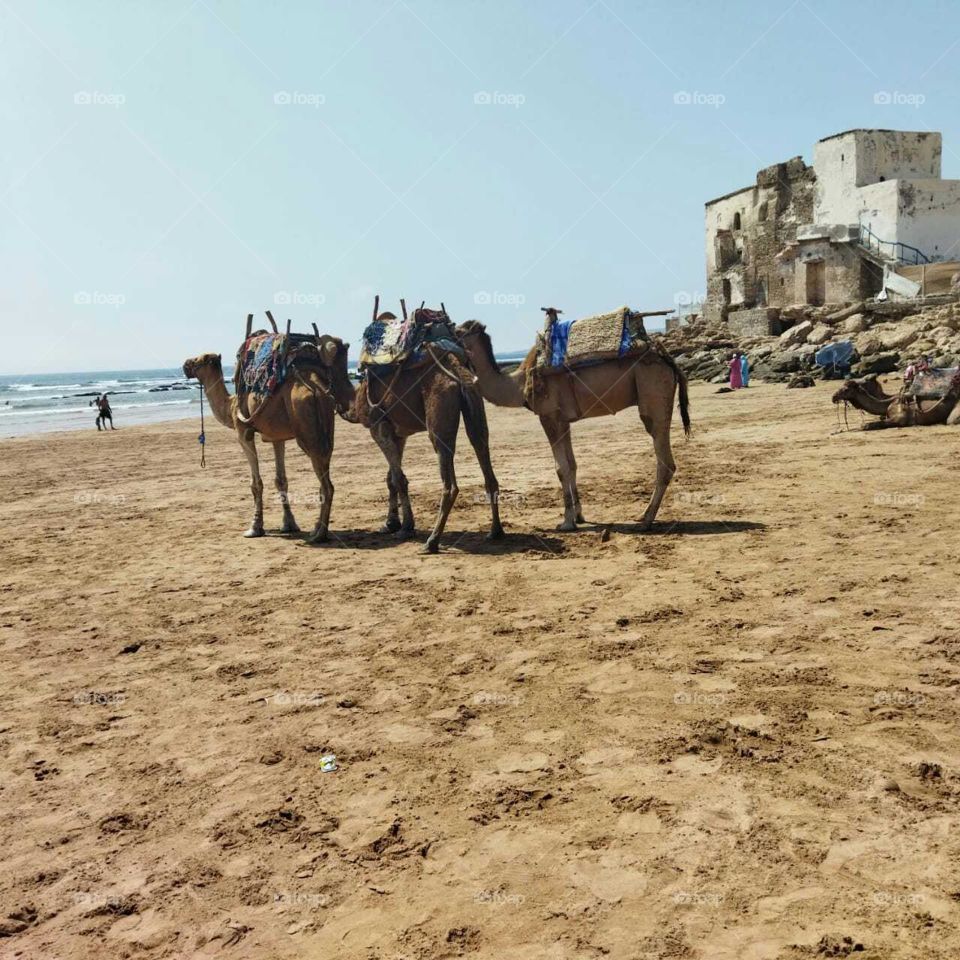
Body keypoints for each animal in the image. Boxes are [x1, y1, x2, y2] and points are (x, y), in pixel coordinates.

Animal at [184, 328, 356, 540]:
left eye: (198, 360)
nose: (185, 365)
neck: (231, 406)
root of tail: (317, 389)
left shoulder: (244, 434)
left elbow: (256, 483)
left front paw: (254, 527)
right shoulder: (277, 437)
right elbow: (281, 480)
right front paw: (289, 524)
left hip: (307, 432)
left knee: (327, 485)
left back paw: (319, 534)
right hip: (327, 428)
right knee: (326, 473)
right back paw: (317, 528)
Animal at [352, 304, 502, 552]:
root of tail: (457, 370)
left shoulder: (378, 426)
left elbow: (398, 478)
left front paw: (405, 527)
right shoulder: (399, 433)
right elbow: (391, 477)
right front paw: (390, 524)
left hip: (438, 419)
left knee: (449, 481)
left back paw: (432, 541)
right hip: (476, 407)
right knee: (484, 456)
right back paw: (495, 531)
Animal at [458, 318, 688, 536]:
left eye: (456, 330)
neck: (519, 384)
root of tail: (669, 361)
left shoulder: (549, 417)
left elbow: (561, 469)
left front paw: (566, 522)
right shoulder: (563, 421)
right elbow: (572, 464)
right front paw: (579, 515)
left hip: (653, 394)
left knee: (665, 462)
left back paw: (646, 520)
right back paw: (643, 516)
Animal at [828, 374, 960, 430]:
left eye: (846, 389)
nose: (833, 397)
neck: (887, 403)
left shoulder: (900, 418)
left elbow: (868, 425)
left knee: (951, 420)